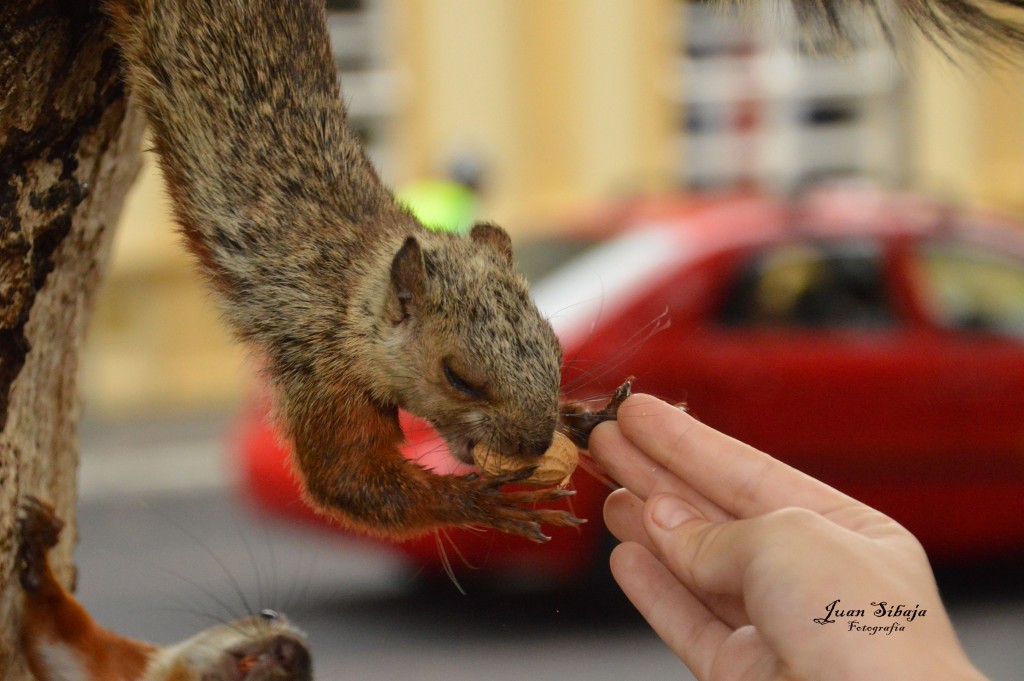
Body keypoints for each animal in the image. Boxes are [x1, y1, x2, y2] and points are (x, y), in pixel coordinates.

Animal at [96, 0, 626, 540]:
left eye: (557, 350)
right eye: (458, 377)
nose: (537, 443)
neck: (351, 298)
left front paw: (578, 417)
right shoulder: (318, 364)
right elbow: (345, 477)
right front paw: (484, 501)